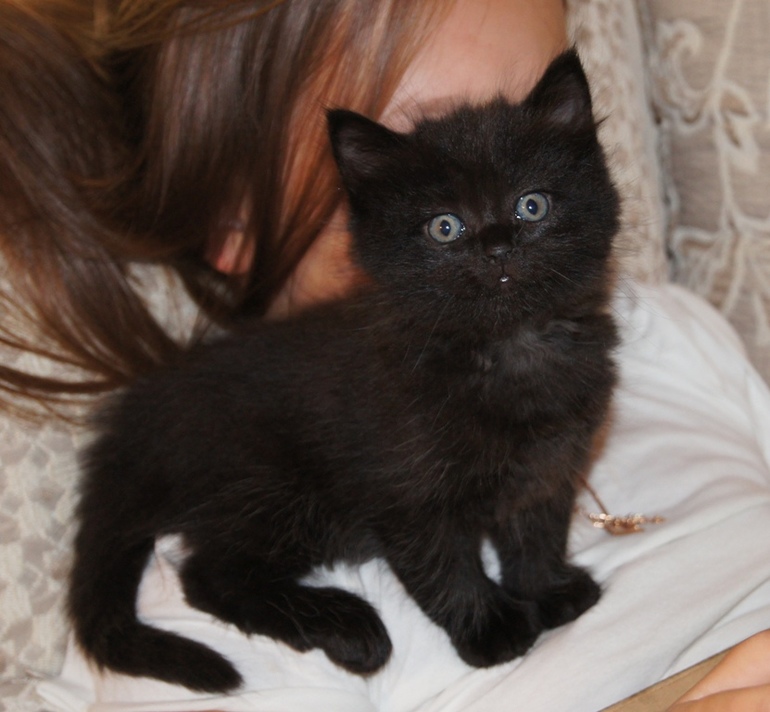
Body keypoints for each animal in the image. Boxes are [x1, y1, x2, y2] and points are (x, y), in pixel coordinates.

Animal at [68, 49, 619, 693]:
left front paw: (547, 591)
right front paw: (492, 628)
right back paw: (345, 624)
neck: (508, 349)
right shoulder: (404, 490)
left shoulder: (549, 463)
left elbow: (535, 532)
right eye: (445, 227)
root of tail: (138, 422)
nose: (498, 246)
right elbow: (445, 567)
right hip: (268, 485)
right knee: (209, 575)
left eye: (531, 206)